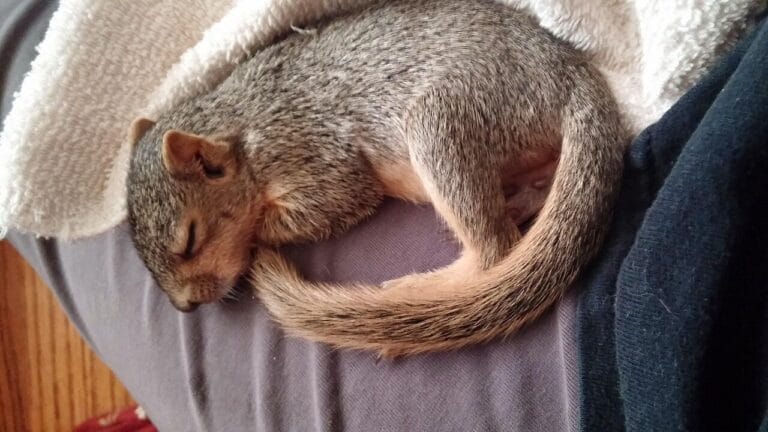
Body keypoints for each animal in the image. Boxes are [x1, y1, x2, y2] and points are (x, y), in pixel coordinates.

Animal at [127, 0, 627, 357]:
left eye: (191, 239)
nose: (185, 306)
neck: (241, 126)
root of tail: (571, 73)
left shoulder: (312, 157)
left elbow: (326, 205)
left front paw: (253, 245)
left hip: (441, 122)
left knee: (495, 248)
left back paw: (424, 289)